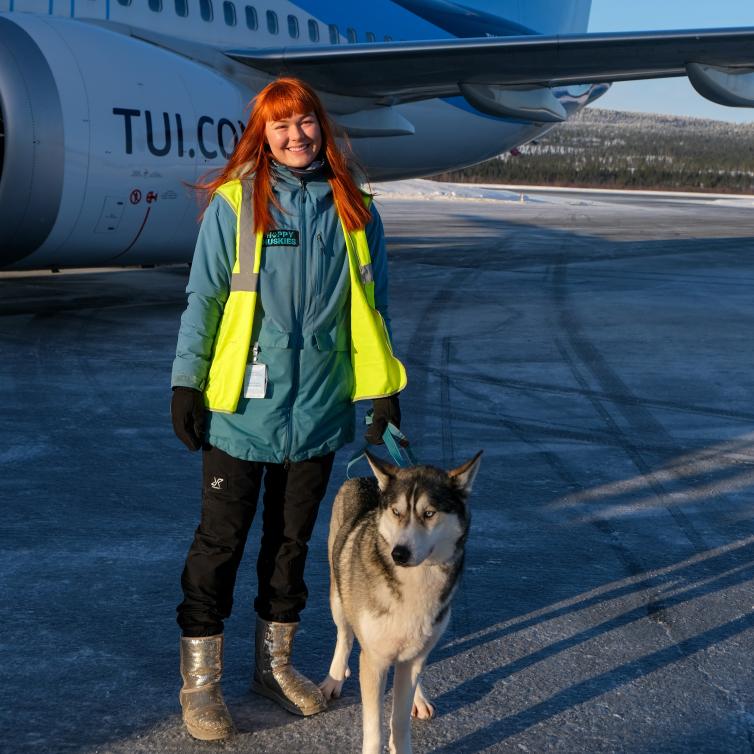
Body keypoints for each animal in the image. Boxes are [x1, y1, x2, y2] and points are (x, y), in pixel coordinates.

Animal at [318, 450, 482, 752]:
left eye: (429, 514)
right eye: (396, 512)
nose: (399, 553)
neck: (416, 583)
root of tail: (363, 477)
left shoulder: (413, 656)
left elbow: (399, 719)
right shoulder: (374, 661)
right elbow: (375, 729)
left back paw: (420, 697)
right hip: (337, 596)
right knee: (344, 636)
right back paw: (334, 677)